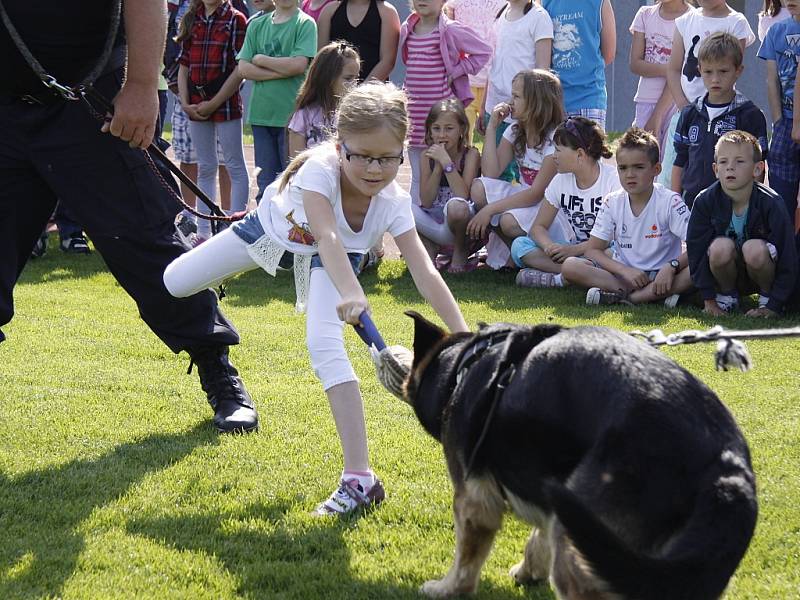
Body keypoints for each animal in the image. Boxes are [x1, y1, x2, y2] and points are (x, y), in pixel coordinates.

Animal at [406, 312, 756, 596]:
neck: (464, 365)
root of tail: (728, 465)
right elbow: (539, 537)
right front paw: (529, 571)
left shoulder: (473, 500)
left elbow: (466, 560)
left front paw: (447, 588)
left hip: (582, 545)